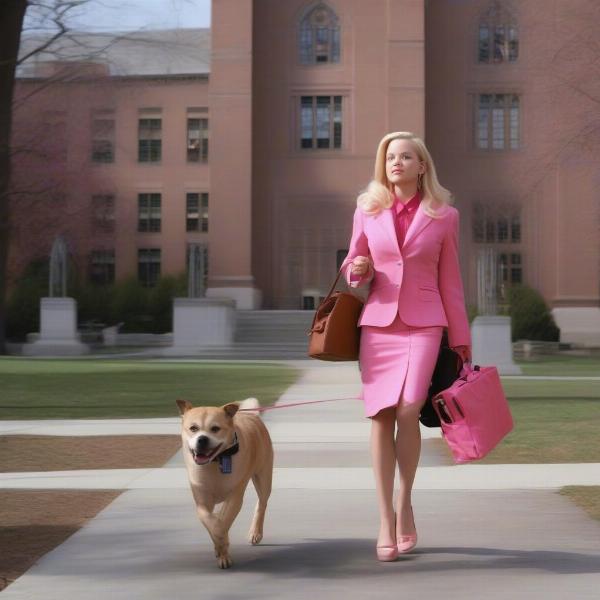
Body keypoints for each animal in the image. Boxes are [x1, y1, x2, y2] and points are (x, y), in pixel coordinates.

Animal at [176, 396, 274, 568]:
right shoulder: (202, 501)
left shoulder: (235, 496)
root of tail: (250, 415)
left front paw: (223, 547)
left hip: (264, 476)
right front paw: (221, 549)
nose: (202, 439)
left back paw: (255, 533)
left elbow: (222, 524)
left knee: (262, 503)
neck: (216, 461)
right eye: (193, 428)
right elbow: (212, 521)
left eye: (215, 428)